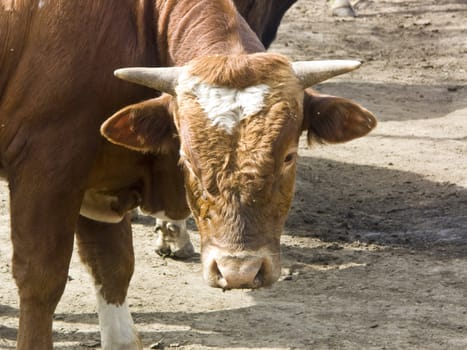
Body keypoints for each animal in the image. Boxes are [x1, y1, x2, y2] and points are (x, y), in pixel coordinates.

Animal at [0, 1, 374, 348]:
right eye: (188, 159)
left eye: (288, 157)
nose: (239, 272)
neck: (138, 24)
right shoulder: (49, 168)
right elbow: (41, 278)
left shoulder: (98, 181)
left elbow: (113, 268)